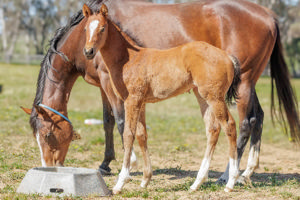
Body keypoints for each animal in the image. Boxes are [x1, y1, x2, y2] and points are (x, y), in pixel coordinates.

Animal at [82, 3, 241, 193]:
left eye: (103, 28)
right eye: (85, 28)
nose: (88, 51)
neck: (129, 59)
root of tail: (227, 57)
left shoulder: (131, 101)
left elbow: (128, 134)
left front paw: (120, 183)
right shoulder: (141, 103)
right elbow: (141, 135)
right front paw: (145, 180)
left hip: (215, 97)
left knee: (229, 125)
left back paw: (231, 182)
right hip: (203, 97)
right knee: (213, 130)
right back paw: (197, 183)